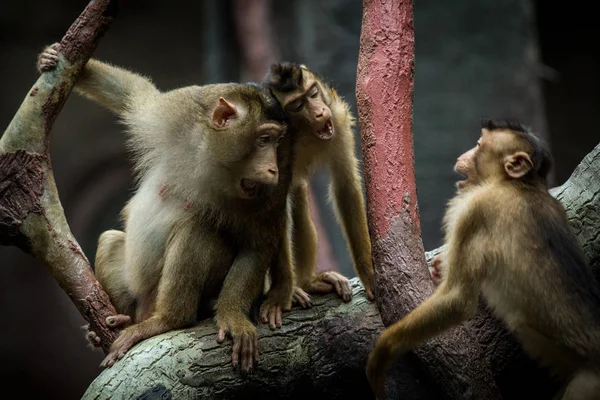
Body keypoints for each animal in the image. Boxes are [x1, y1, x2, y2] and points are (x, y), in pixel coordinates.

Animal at [36, 43, 294, 372]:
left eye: (276, 142)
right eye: (264, 139)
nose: (273, 169)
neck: (210, 156)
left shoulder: (269, 193)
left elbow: (257, 246)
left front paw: (233, 317)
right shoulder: (174, 116)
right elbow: (135, 95)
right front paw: (56, 58)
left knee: (197, 230)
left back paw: (168, 320)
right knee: (110, 240)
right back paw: (121, 321)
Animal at [364, 120, 600, 398]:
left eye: (478, 146)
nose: (461, 156)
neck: (518, 184)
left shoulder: (475, 210)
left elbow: (457, 299)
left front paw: (382, 352)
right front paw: (439, 267)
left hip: (588, 384)